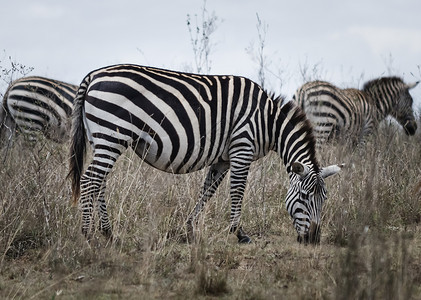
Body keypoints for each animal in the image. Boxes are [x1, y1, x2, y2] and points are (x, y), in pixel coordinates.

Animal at [66, 64, 342, 245]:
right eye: (305, 197)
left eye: (324, 199)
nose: (313, 239)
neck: (269, 122)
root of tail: (93, 74)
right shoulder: (242, 149)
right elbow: (237, 192)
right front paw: (239, 233)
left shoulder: (223, 159)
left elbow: (207, 191)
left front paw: (189, 229)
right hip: (111, 135)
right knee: (90, 180)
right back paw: (87, 234)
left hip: (102, 139)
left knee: (99, 182)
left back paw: (108, 233)